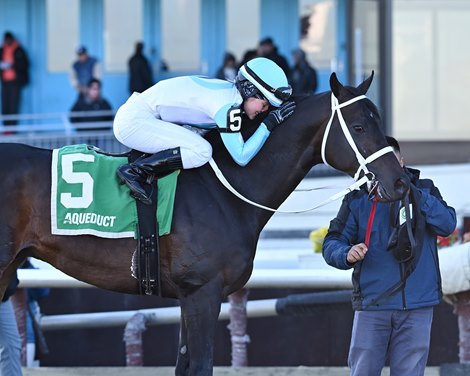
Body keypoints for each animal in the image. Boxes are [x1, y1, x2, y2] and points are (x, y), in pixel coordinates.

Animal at [0, 72, 408, 374]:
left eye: (379, 121)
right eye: (359, 126)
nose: (400, 182)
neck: (226, 190)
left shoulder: (187, 297)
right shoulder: (202, 292)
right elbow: (200, 366)